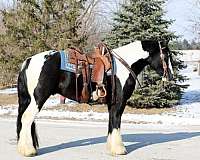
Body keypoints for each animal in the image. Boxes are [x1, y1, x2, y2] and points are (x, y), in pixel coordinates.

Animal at [17, 40, 173, 156]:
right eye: (166, 56)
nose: (170, 76)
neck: (124, 65)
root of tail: (29, 61)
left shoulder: (111, 104)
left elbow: (111, 123)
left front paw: (111, 147)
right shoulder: (119, 102)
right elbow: (116, 122)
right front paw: (119, 149)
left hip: (27, 100)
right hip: (38, 99)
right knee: (27, 119)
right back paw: (28, 151)